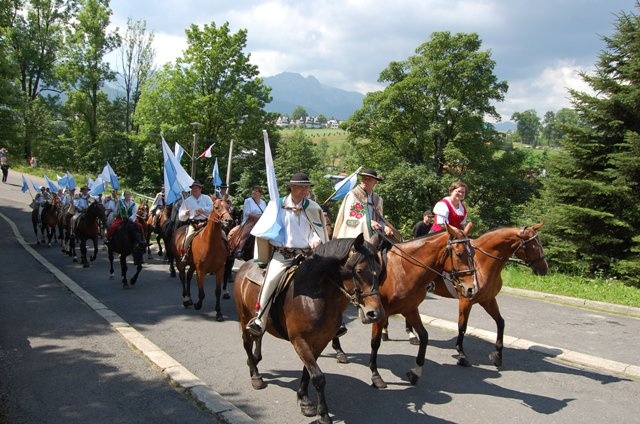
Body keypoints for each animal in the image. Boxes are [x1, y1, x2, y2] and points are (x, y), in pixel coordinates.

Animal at [235, 235, 384, 424]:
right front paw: (323, 413)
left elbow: (308, 372)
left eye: (379, 270)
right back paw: (255, 376)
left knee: (258, 337)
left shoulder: (320, 341)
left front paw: (304, 400)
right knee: (247, 343)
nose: (376, 313)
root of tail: (245, 265)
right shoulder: (300, 341)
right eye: (358, 270)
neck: (316, 297)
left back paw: (254, 361)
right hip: (244, 317)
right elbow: (318, 377)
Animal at [330, 224, 476, 390]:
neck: (404, 270)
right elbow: (375, 343)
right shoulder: (380, 314)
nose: (471, 288)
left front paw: (415, 372)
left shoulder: (410, 309)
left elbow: (424, 336)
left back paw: (339, 351)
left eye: (474, 252)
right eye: (458, 253)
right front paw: (376, 375)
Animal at [428, 222, 548, 368]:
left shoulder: (488, 300)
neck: (482, 263)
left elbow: (500, 322)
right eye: (534, 246)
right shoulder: (466, 300)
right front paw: (461, 355)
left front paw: (498, 355)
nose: (544, 268)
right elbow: (462, 326)